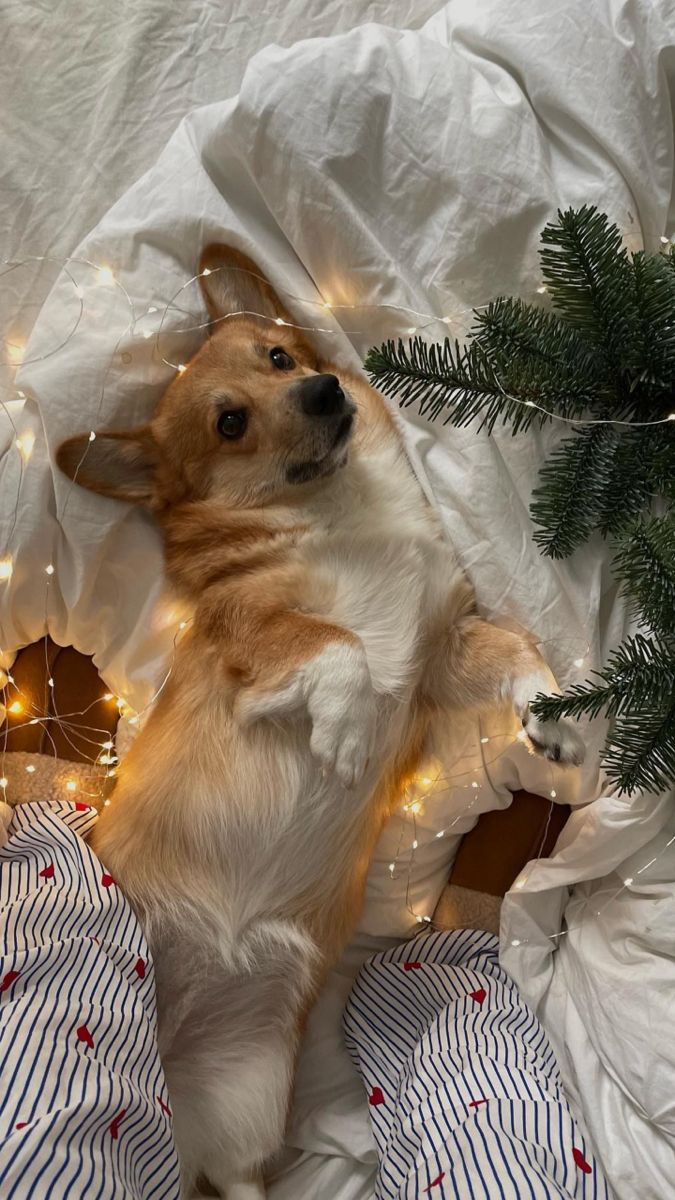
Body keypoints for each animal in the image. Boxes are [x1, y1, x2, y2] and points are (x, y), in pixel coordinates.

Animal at [57, 238, 581, 1195]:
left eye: (278, 357)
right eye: (231, 423)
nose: (323, 390)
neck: (338, 510)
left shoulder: (446, 646)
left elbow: (518, 650)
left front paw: (550, 715)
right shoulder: (253, 636)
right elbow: (337, 646)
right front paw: (344, 730)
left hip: (250, 1088)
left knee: (229, 1175)